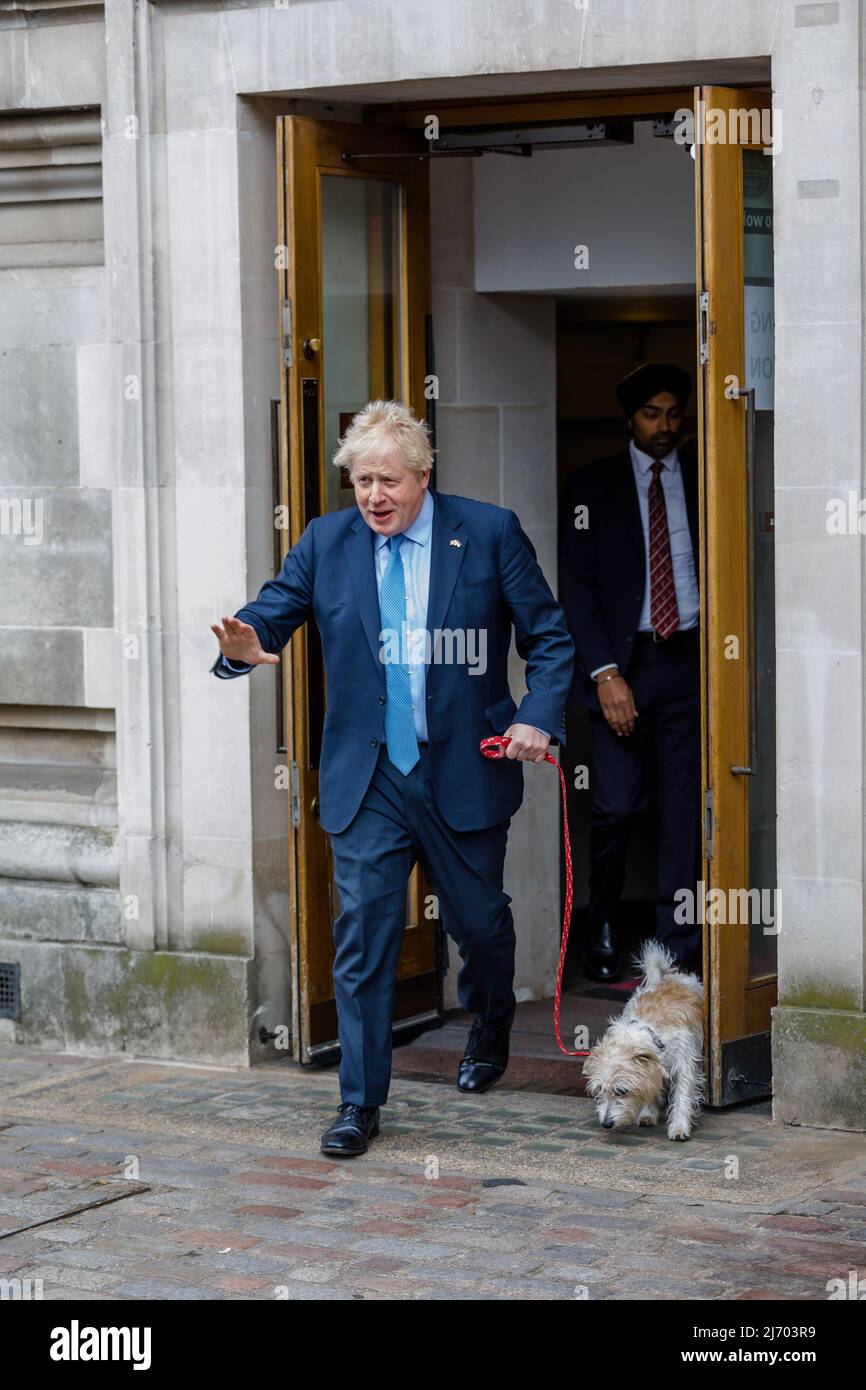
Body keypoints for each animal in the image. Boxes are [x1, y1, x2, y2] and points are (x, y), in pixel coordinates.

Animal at [583, 939, 706, 1145]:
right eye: (600, 1089)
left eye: (621, 1091)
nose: (606, 1124)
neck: (652, 1032)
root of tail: (666, 979)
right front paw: (648, 1113)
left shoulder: (683, 1065)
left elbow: (682, 1095)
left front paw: (679, 1126)